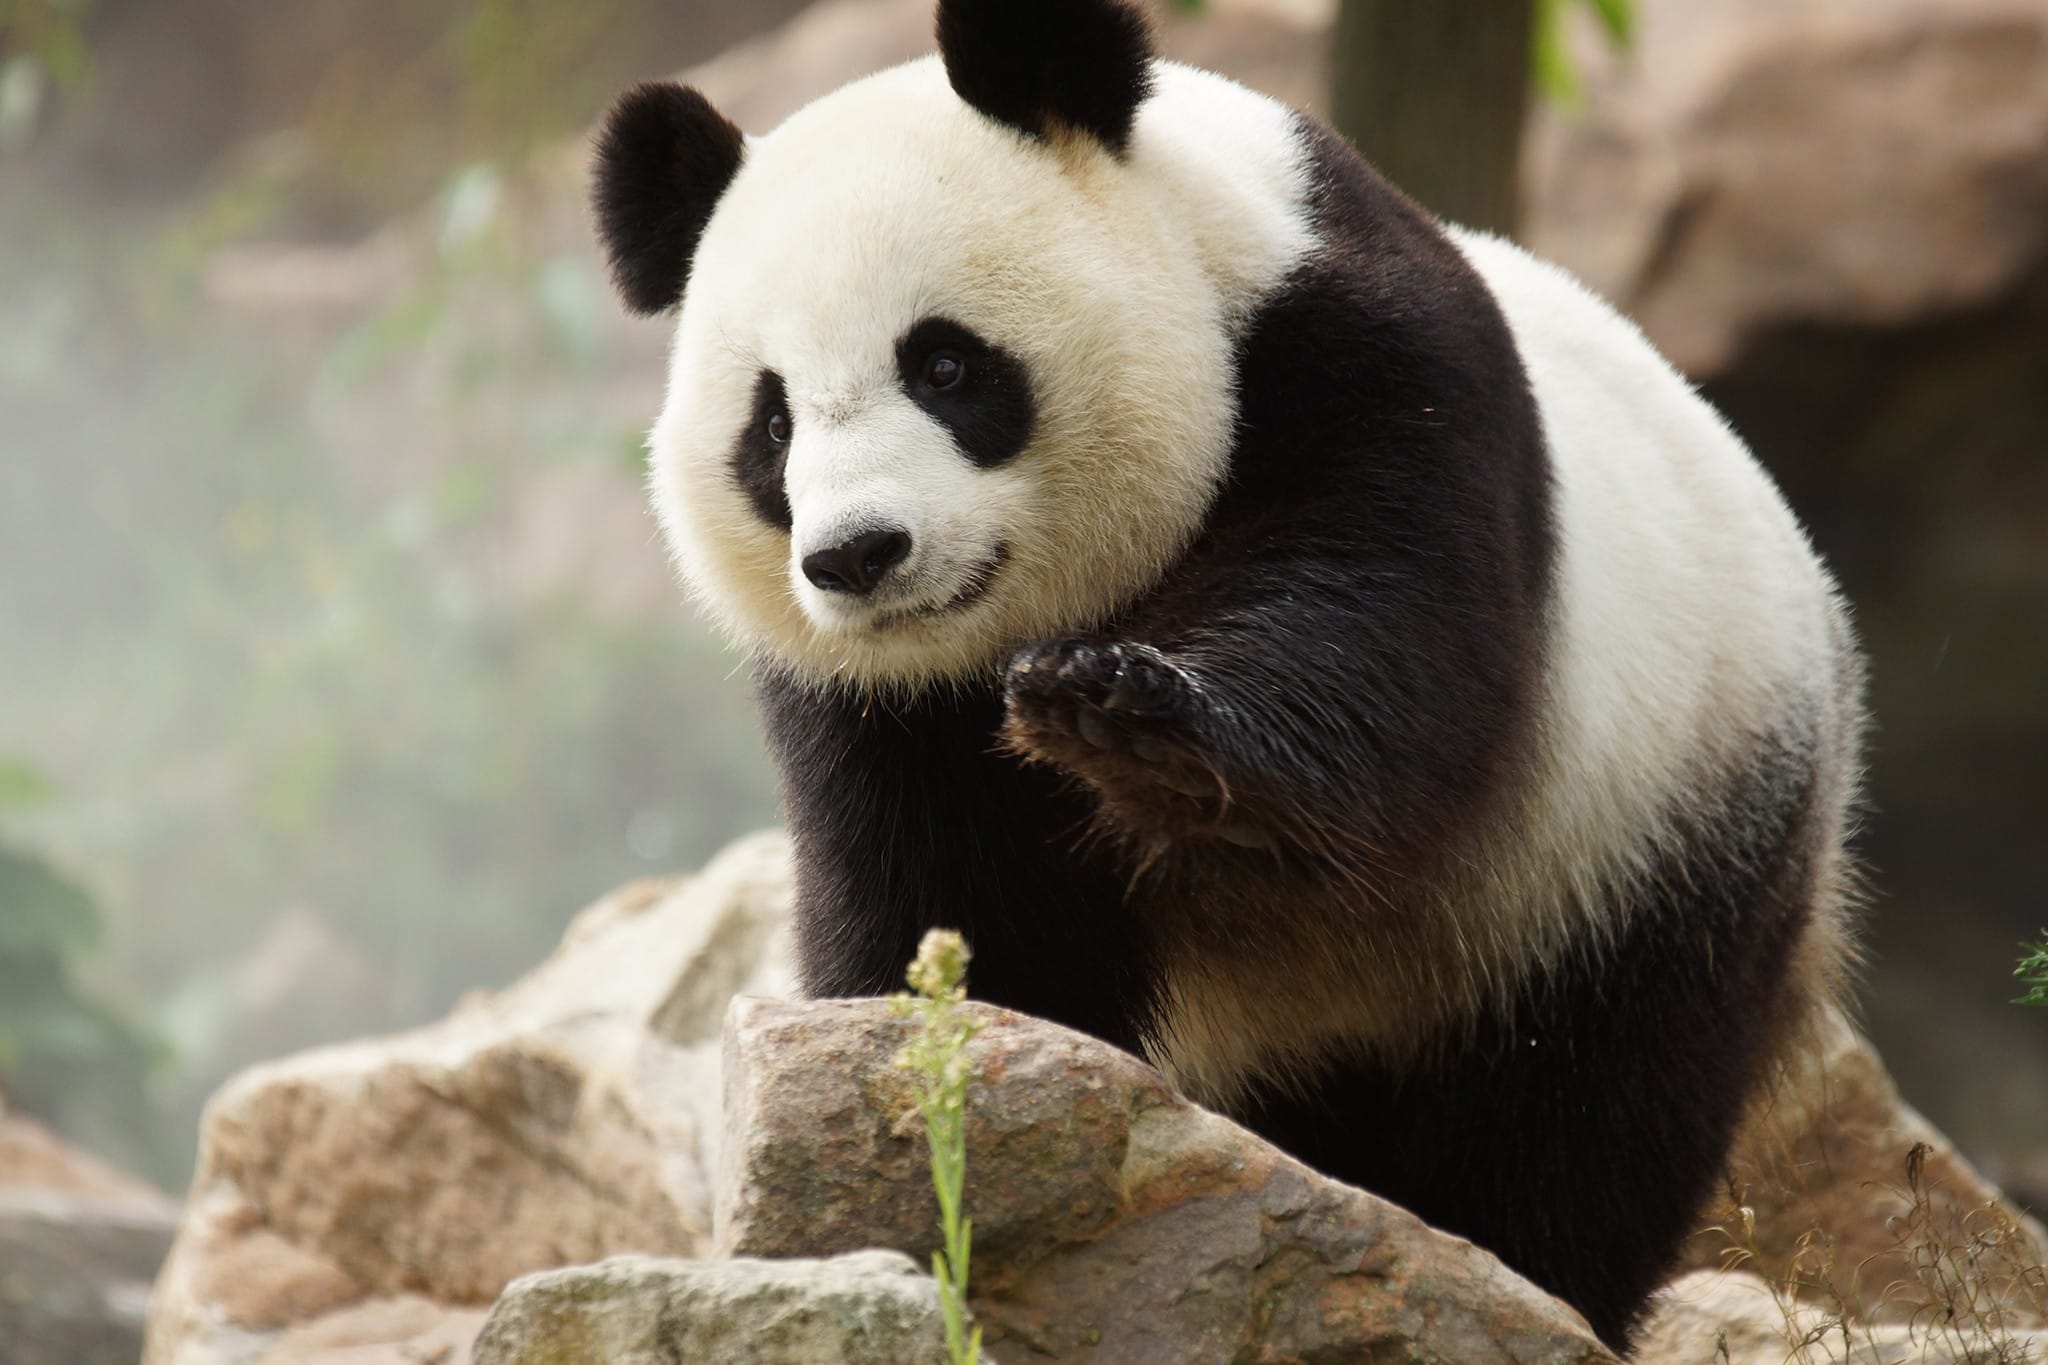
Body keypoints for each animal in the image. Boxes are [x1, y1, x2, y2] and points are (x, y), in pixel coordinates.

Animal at [589, 0, 1859, 1342]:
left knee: (1584, 1109)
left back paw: (1525, 1271)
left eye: (942, 365)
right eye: (770, 424)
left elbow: (1372, 623)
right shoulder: (881, 711)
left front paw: (1131, 724)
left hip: (1648, 828)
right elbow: (961, 914)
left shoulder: (1370, 367)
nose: (857, 556)